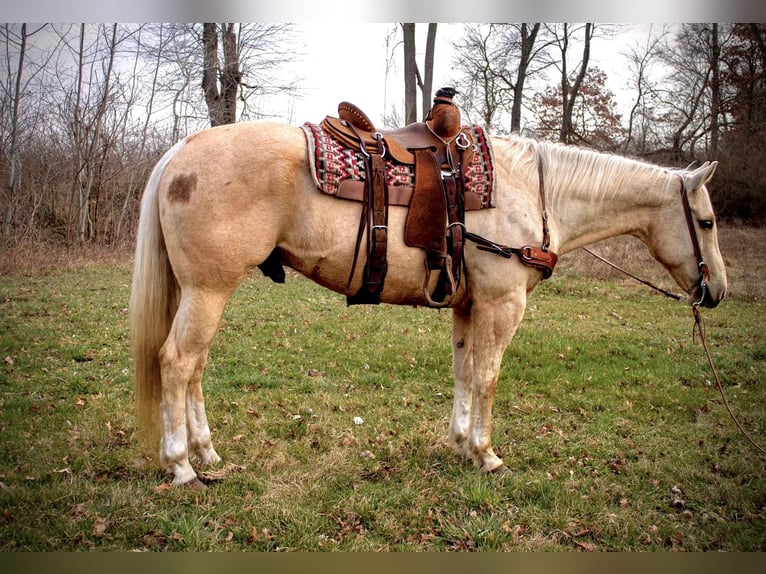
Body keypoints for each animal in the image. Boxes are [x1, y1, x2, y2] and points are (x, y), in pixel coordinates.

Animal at [129, 120, 728, 486]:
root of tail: (182, 149)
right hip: (209, 291)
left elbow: (463, 371)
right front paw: (486, 454)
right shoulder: (502, 304)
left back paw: (207, 452)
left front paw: (460, 443)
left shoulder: (468, 305)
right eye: (706, 222)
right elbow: (487, 376)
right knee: (176, 364)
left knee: (195, 368)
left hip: (205, 292)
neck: (532, 192)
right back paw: (181, 466)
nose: (717, 291)